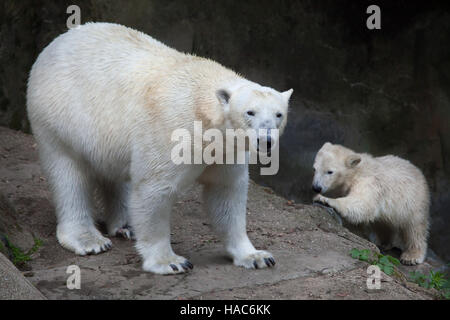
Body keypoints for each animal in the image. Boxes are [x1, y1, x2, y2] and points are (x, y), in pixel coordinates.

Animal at [27, 22, 292, 274]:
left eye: (279, 114)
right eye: (250, 112)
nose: (267, 140)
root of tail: (57, 42)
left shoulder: (227, 150)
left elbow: (226, 193)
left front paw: (256, 256)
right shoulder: (172, 131)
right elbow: (154, 191)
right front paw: (170, 262)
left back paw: (126, 226)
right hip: (58, 117)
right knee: (68, 174)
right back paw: (89, 240)